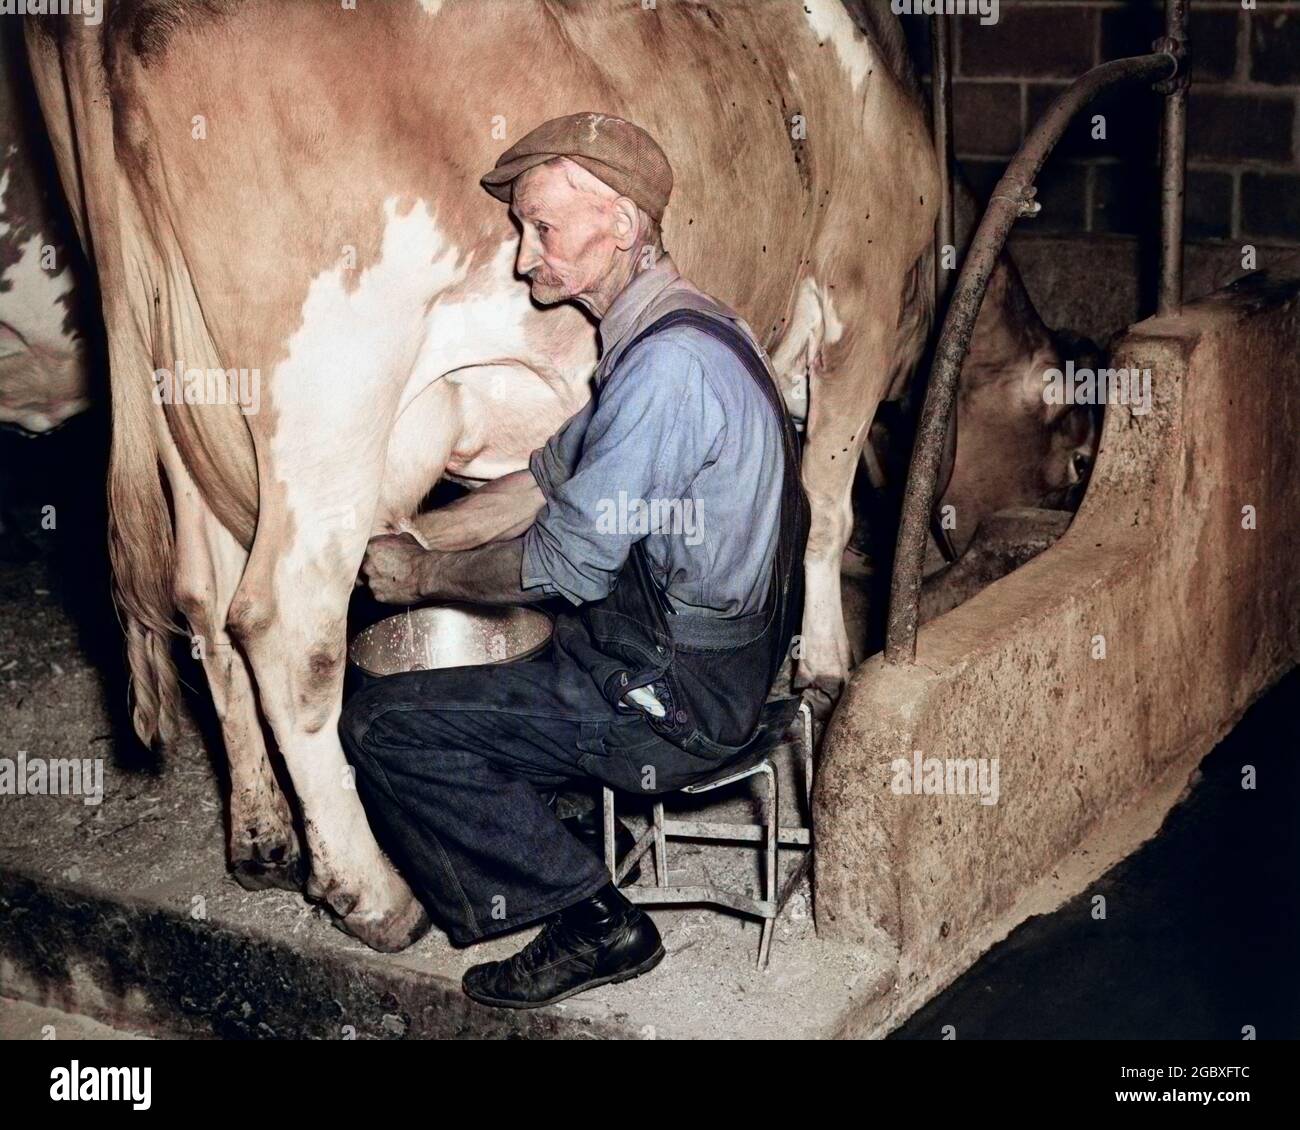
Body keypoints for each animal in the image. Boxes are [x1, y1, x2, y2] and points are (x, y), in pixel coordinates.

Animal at [25, 0, 1093, 951]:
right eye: (1070, 457)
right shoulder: (855, 309)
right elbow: (824, 510)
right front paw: (825, 670)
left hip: (189, 403)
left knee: (204, 604)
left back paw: (262, 838)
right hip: (330, 392)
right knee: (286, 625)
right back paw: (375, 897)